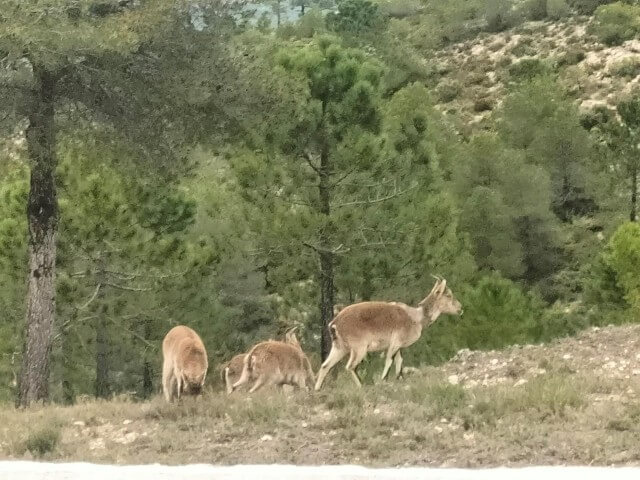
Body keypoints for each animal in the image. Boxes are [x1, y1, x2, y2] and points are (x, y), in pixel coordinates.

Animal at [314, 277, 462, 390]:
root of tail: (334, 323)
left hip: (339, 347)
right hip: (359, 348)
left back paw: (317, 389)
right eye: (448, 295)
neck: (415, 317)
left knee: (325, 366)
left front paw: (400, 378)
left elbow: (399, 361)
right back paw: (362, 385)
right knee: (350, 366)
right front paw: (384, 379)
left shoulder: (398, 346)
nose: (460, 309)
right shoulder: (395, 342)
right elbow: (389, 360)